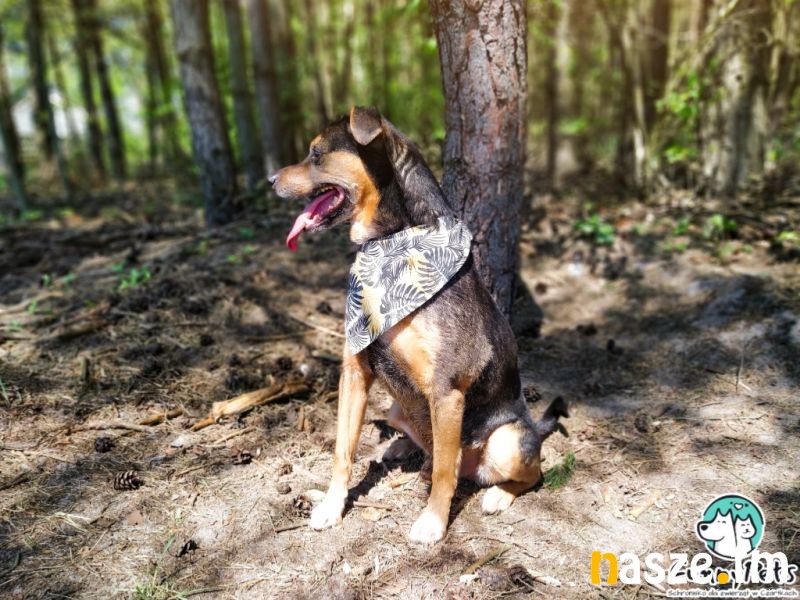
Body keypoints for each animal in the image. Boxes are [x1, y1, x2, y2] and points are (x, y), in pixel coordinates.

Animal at [269, 106, 568, 544]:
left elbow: (445, 470)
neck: (391, 244)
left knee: (528, 472)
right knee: (427, 447)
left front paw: (433, 523)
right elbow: (342, 450)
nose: (270, 179)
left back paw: (498, 494)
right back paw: (401, 449)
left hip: (507, 441)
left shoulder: (446, 390)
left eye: (317, 154)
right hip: (397, 406)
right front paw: (331, 506)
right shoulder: (355, 372)